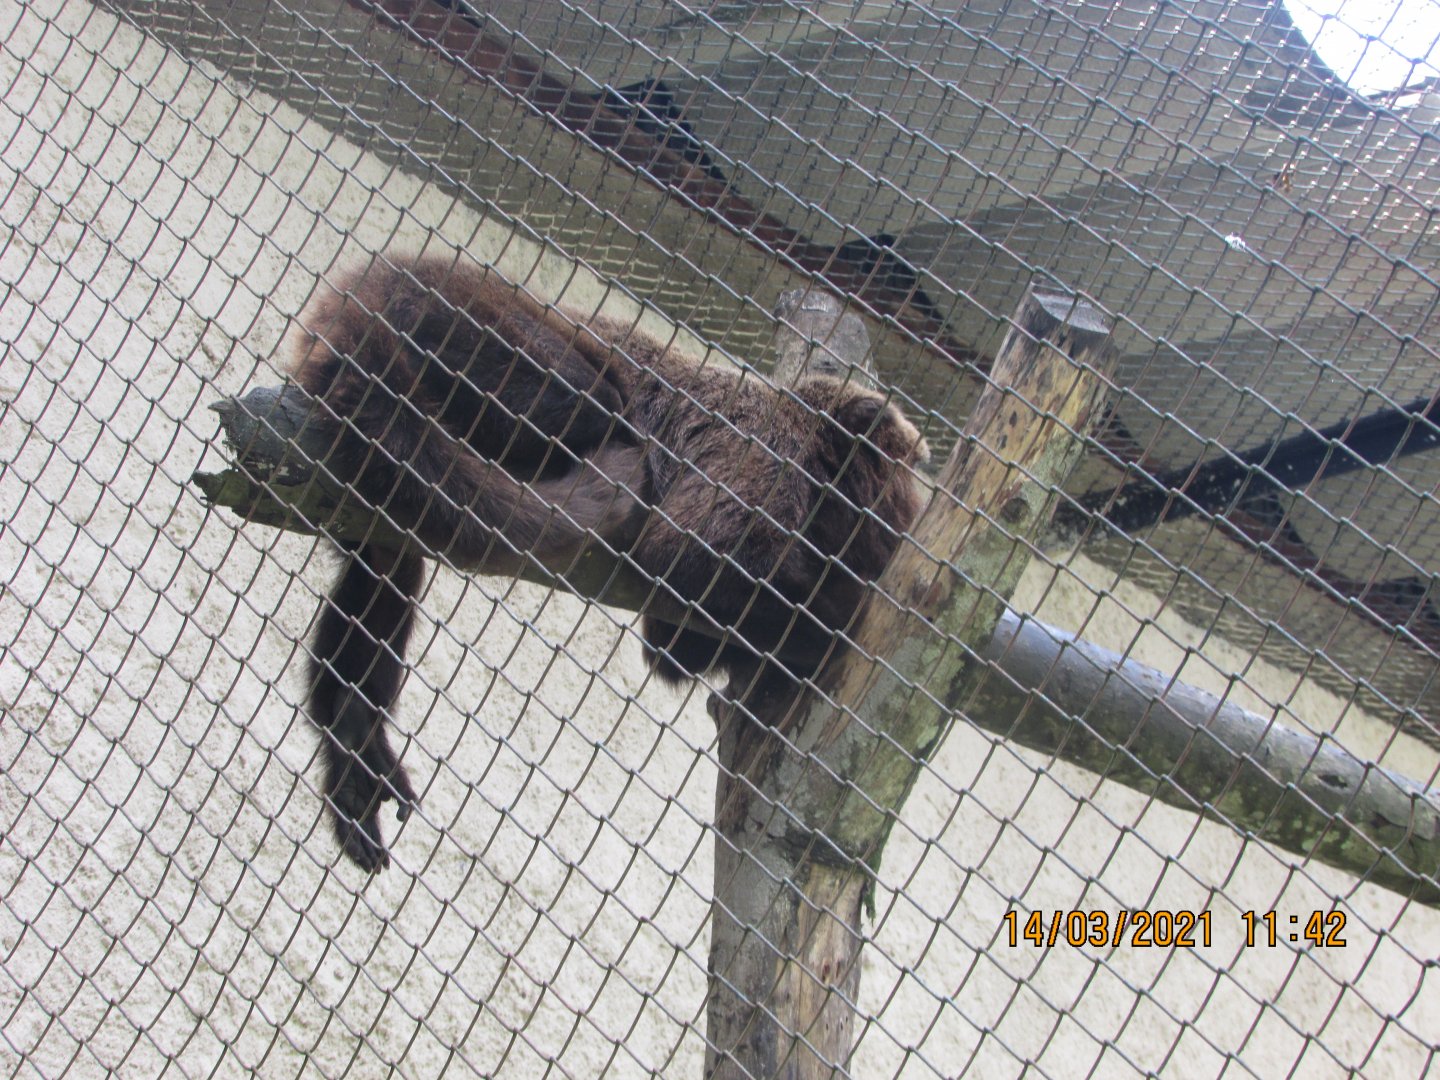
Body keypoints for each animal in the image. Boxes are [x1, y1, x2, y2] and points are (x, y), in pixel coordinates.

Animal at [287, 254, 929, 871]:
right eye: (905, 491)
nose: (910, 521)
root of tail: (368, 288)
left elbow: (676, 643)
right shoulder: (767, 466)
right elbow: (690, 565)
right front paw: (837, 616)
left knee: (388, 566)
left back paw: (350, 735)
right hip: (458, 321)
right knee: (595, 399)